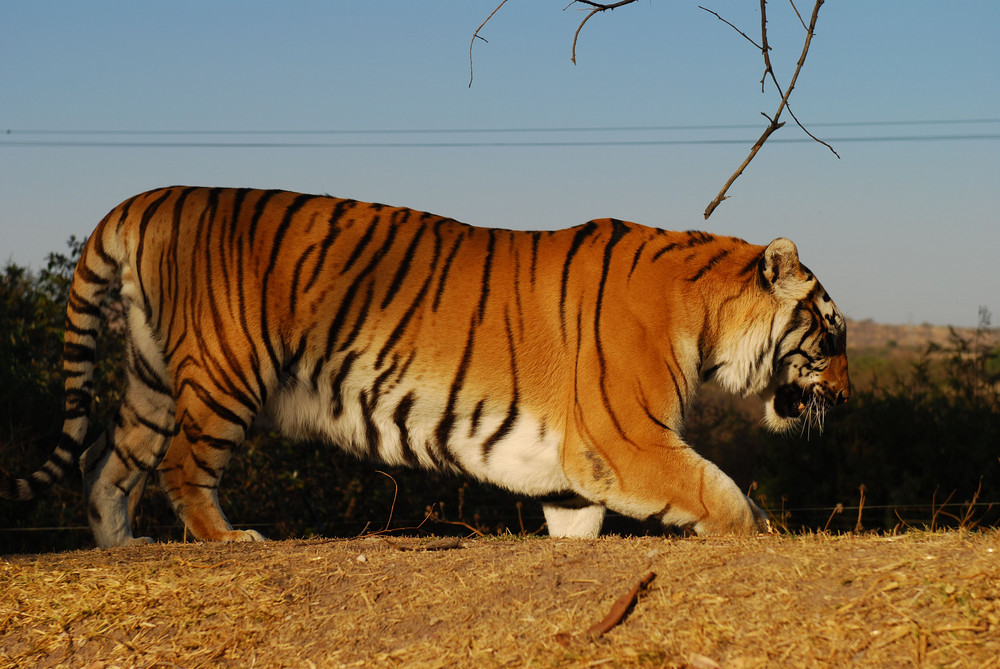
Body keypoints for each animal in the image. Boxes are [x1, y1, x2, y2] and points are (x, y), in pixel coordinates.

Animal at [0, 185, 848, 544]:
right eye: (833, 334)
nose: (844, 396)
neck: (704, 312)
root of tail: (150, 196)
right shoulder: (624, 437)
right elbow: (718, 488)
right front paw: (762, 531)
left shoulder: (576, 465)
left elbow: (578, 521)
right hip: (224, 373)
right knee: (180, 465)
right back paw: (232, 538)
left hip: (151, 376)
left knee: (108, 462)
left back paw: (123, 545)